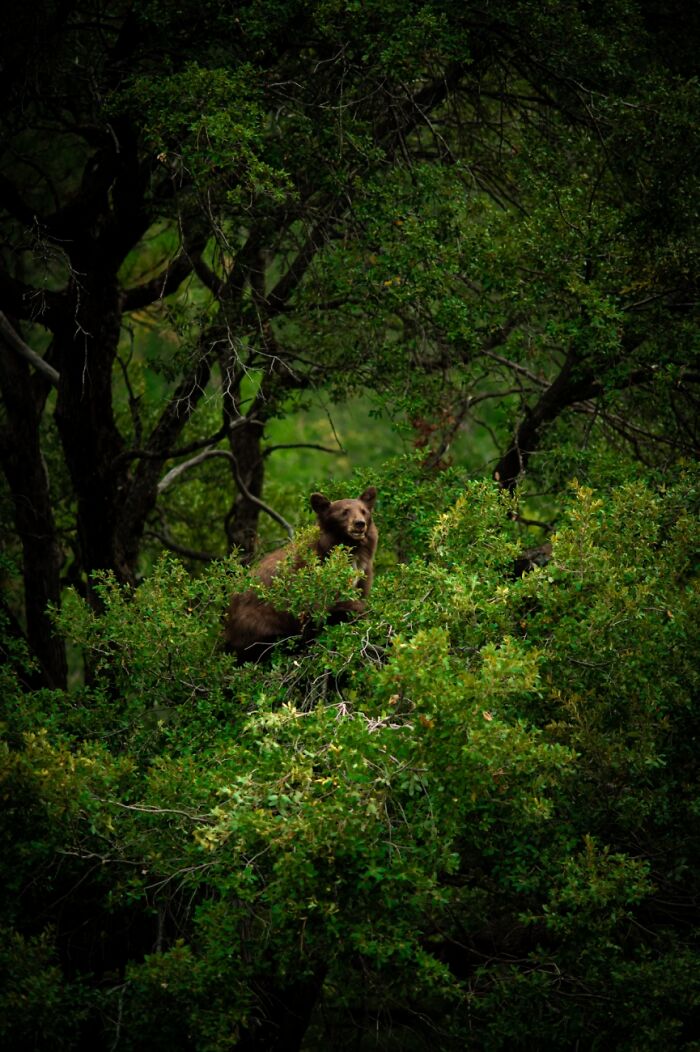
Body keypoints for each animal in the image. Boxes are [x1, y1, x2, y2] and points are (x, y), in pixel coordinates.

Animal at [224, 487, 378, 662]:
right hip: (255, 623)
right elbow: (324, 606)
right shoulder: (313, 576)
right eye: (344, 512)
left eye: (364, 511)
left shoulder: (364, 572)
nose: (360, 523)